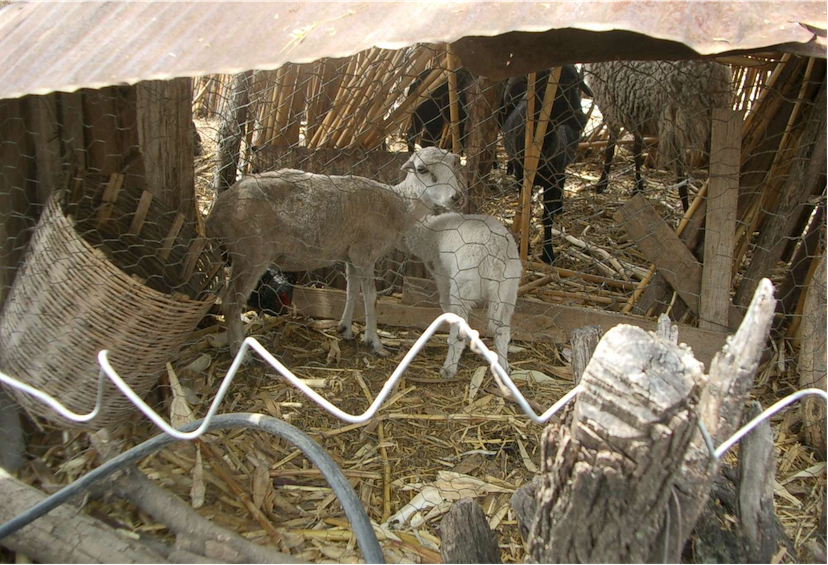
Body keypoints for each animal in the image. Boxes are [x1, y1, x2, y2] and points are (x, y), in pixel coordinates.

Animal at [205, 145, 466, 356]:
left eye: (455, 165)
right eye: (422, 169)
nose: (456, 197)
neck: (397, 205)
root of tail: (216, 211)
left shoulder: (351, 255)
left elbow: (352, 292)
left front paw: (345, 328)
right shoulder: (365, 254)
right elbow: (371, 298)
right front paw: (375, 342)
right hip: (250, 255)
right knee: (231, 302)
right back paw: (239, 352)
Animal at [402, 214, 524, 376]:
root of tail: (497, 257)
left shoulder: (442, 275)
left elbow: (444, 304)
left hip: (463, 286)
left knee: (459, 329)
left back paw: (449, 368)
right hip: (509, 291)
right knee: (502, 331)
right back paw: (504, 367)